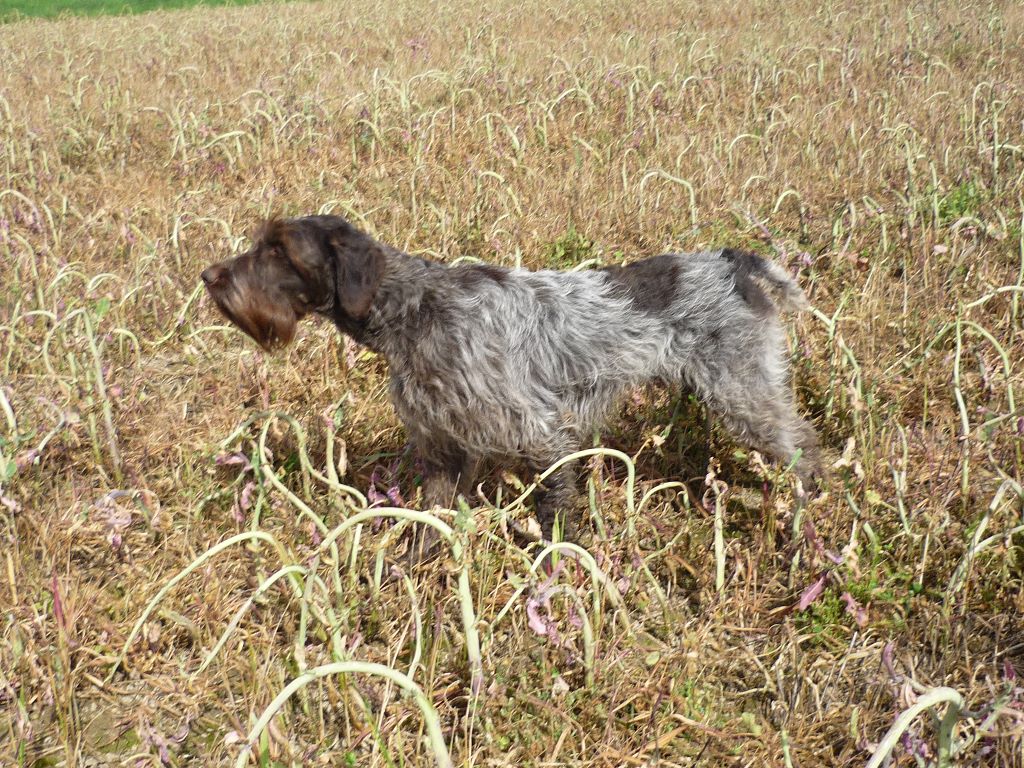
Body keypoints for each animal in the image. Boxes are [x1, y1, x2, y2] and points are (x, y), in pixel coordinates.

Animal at [203, 215, 819, 548]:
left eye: (279, 249)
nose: (209, 276)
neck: (415, 309)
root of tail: (733, 262)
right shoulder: (443, 449)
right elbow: (431, 524)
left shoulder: (539, 431)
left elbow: (553, 510)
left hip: (745, 395)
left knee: (805, 451)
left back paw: (807, 524)